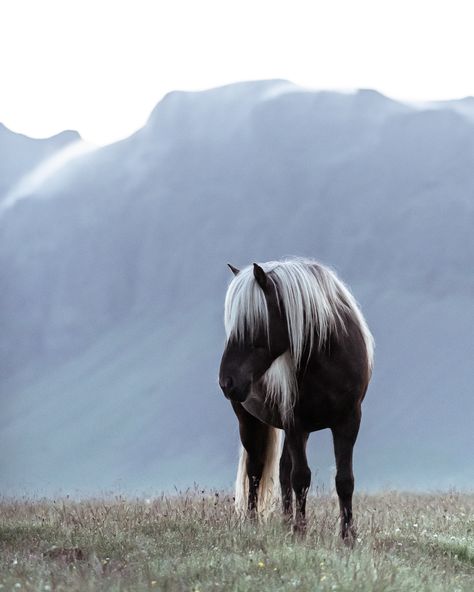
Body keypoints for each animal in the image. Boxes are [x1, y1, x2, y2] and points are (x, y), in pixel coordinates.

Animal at [218, 256, 374, 540]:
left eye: (252, 323)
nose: (227, 382)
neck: (328, 358)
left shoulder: (348, 421)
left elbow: (344, 480)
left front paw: (348, 537)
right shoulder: (294, 422)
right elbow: (301, 478)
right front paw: (300, 532)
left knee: (281, 470)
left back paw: (285, 522)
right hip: (250, 422)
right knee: (256, 471)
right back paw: (254, 524)